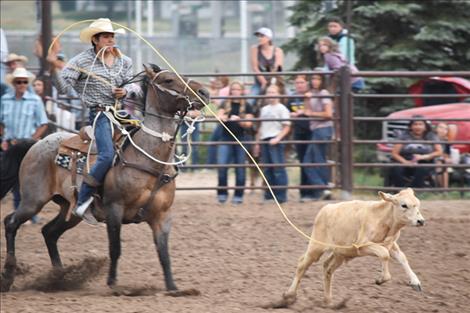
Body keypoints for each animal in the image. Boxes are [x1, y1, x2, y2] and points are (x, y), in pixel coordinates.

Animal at [0, 64, 209, 292]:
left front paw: (173, 288)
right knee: (11, 222)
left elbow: (164, 254)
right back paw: (9, 276)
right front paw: (113, 284)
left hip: (69, 209)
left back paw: (59, 277)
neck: (148, 159)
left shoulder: (162, 216)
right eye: (168, 80)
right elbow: (115, 248)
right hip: (33, 200)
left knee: (49, 232)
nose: (205, 93)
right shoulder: (114, 209)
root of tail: (36, 143)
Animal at [280, 188, 424, 304]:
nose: (421, 221)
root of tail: (324, 209)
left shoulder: (391, 244)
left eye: (418, 204)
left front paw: (415, 282)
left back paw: (328, 301)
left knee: (327, 268)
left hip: (340, 253)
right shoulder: (362, 246)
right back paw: (289, 294)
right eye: (404, 205)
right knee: (302, 265)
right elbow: (384, 254)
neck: (383, 219)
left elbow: (402, 258)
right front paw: (381, 279)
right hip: (316, 248)